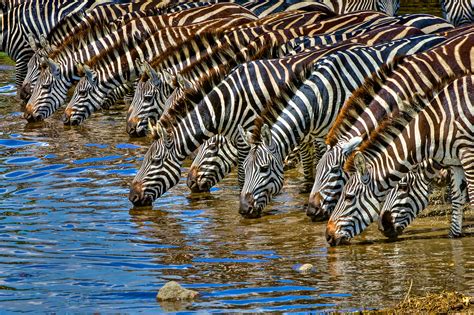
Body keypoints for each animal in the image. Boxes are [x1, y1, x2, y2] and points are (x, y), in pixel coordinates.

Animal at [326, 74, 474, 247]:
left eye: (349, 197)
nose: (328, 236)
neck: (431, 129)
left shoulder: (468, 155)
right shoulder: (456, 162)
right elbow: (457, 199)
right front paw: (454, 236)